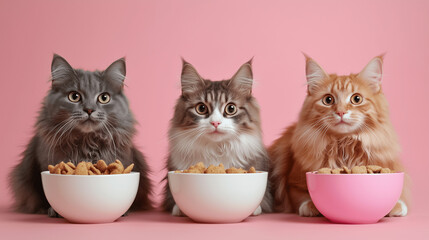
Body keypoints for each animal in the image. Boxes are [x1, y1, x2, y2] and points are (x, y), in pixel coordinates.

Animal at [162, 59, 272, 216]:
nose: (215, 122)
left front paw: (255, 209)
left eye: (231, 108)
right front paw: (179, 209)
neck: (216, 149)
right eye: (201, 108)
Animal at [270, 55, 406, 217]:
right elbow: (304, 196)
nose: (341, 112)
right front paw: (312, 206)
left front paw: (396, 206)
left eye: (356, 99)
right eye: (328, 100)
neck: (344, 145)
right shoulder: (292, 183)